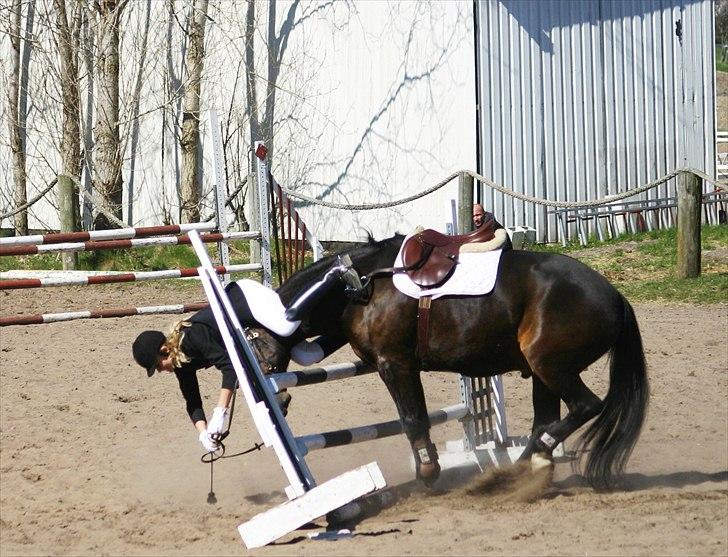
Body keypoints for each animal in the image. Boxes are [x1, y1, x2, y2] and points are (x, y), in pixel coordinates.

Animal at [252, 232, 648, 488]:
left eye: (256, 351)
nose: (278, 403)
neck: (361, 283)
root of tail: (615, 295)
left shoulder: (395, 364)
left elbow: (413, 419)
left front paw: (427, 473)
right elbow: (418, 418)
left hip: (551, 367)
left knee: (585, 405)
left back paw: (524, 466)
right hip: (542, 374)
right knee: (546, 421)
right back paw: (520, 470)